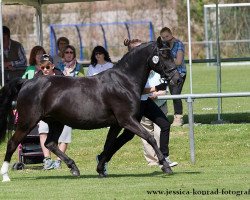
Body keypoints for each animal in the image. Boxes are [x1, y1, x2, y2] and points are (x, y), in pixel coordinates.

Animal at [0, 39, 180, 181]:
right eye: (164, 55)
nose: (177, 79)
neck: (124, 82)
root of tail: (26, 82)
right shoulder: (127, 120)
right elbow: (150, 138)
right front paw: (165, 166)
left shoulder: (116, 124)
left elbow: (109, 144)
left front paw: (100, 169)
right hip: (27, 122)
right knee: (13, 143)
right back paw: (6, 175)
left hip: (56, 122)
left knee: (50, 143)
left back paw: (74, 168)